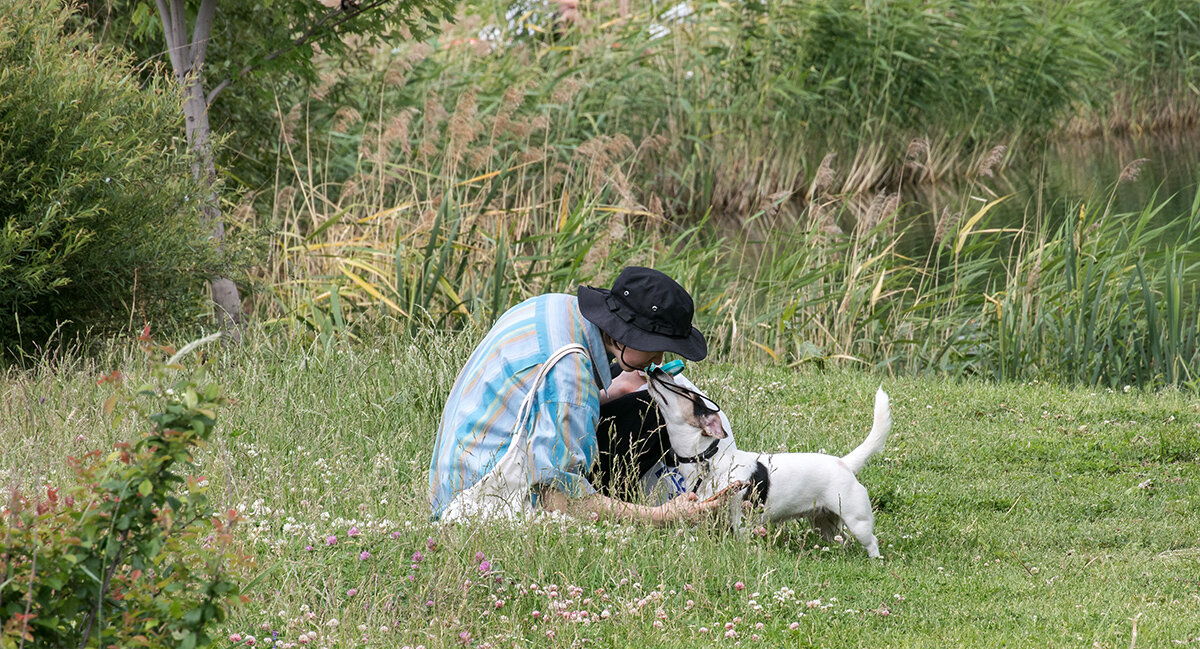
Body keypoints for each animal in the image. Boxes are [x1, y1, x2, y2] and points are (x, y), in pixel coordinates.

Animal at [648, 369, 892, 556]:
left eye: (685, 392)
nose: (655, 370)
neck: (708, 459)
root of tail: (844, 463)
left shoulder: (740, 521)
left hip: (857, 520)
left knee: (871, 542)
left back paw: (874, 560)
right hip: (825, 523)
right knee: (839, 538)